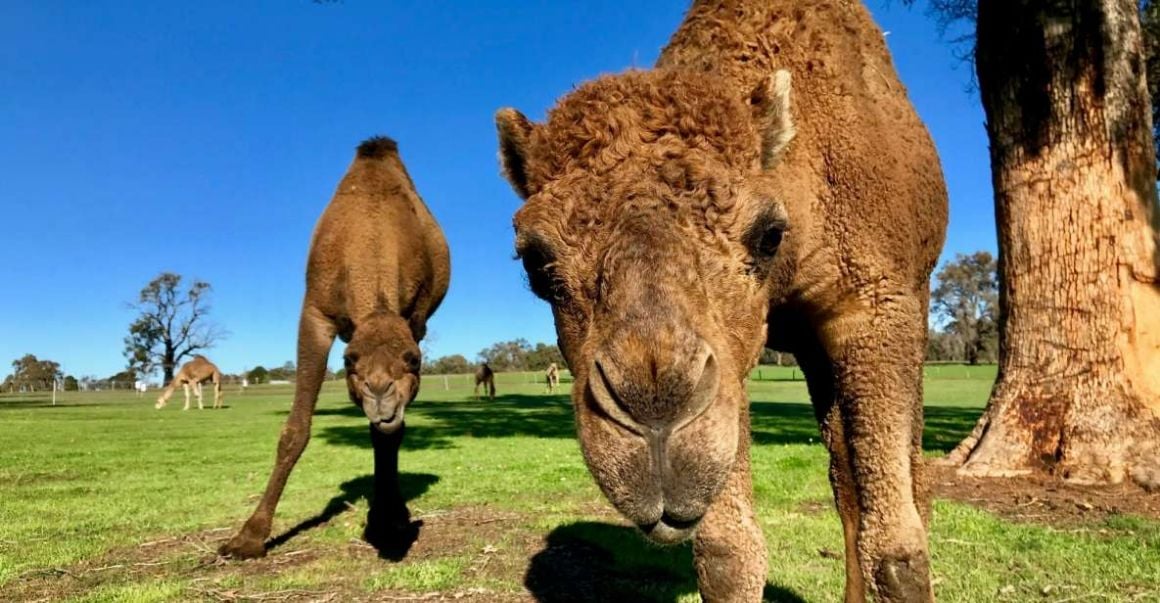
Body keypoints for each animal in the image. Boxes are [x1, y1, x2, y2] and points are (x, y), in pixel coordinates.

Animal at [219, 136, 450, 561]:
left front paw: (390, 518)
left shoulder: (416, 320)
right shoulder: (315, 313)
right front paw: (248, 538)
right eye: (348, 360)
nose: (381, 397)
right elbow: (294, 430)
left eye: (414, 360)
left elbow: (388, 435)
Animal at [494, 2, 946, 598]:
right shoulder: (735, 354)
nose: (655, 409)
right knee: (846, 478)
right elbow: (728, 553)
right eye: (535, 263)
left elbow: (898, 555)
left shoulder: (876, 303)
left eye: (768, 235)